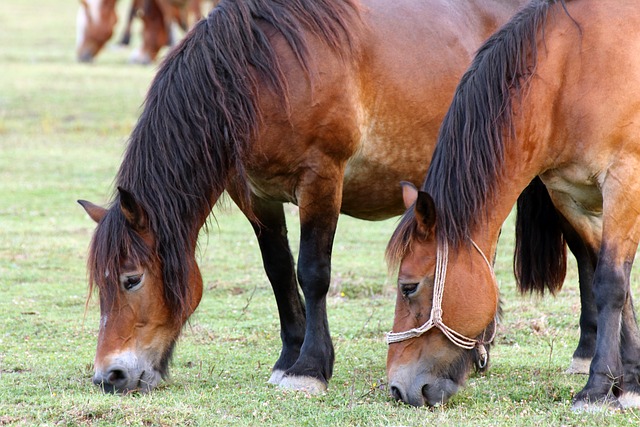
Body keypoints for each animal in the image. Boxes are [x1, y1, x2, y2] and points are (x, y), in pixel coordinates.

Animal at [78, 0, 593, 395]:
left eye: (130, 280)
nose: (110, 376)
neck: (261, 73)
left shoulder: (321, 179)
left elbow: (313, 272)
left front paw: (309, 368)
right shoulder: (255, 196)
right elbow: (279, 273)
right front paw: (287, 357)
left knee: (587, 250)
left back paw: (586, 355)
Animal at [385, 0, 640, 410]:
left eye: (408, 287)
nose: (396, 387)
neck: (570, 73)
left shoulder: (624, 183)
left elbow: (610, 284)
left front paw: (598, 386)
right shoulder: (571, 197)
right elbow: (622, 288)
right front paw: (631, 382)